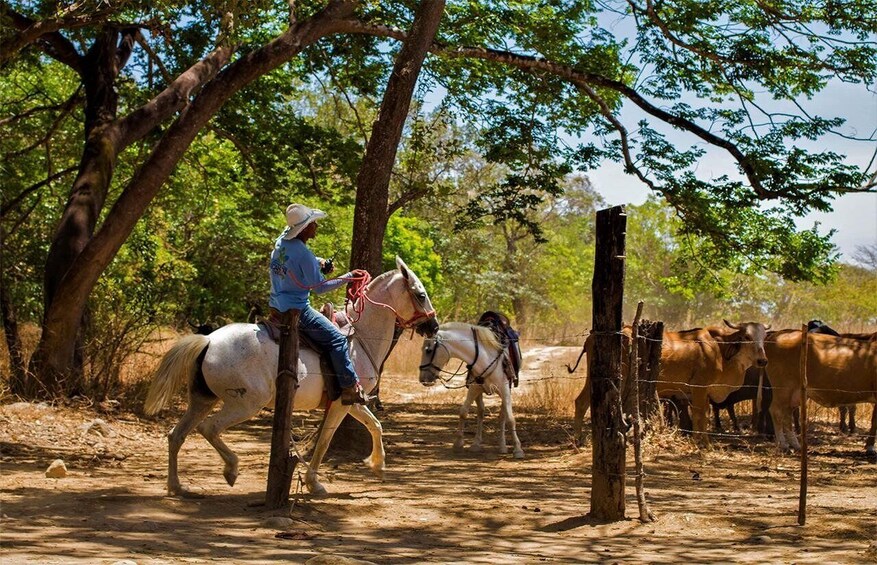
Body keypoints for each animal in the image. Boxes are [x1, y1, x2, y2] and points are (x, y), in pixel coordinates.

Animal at [143, 256, 438, 494]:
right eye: (421, 295)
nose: (434, 326)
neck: (359, 339)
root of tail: (208, 341)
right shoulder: (343, 402)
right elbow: (325, 441)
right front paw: (314, 483)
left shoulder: (352, 402)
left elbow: (375, 425)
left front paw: (377, 466)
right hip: (245, 403)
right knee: (209, 428)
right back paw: (231, 470)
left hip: (202, 399)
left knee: (176, 435)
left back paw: (176, 486)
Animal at [416, 322, 520, 458]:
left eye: (428, 350)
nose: (423, 379)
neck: (484, 358)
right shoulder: (474, 388)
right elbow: (463, 412)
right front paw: (458, 443)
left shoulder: (504, 390)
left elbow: (510, 419)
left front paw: (517, 449)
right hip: (479, 392)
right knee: (481, 412)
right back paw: (476, 444)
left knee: (502, 416)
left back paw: (502, 446)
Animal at [568, 318, 768, 446]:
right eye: (747, 337)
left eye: (764, 338)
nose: (762, 361)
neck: (719, 348)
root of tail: (592, 337)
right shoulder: (699, 388)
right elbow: (700, 416)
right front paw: (702, 444)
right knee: (583, 403)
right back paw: (579, 439)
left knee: (581, 402)